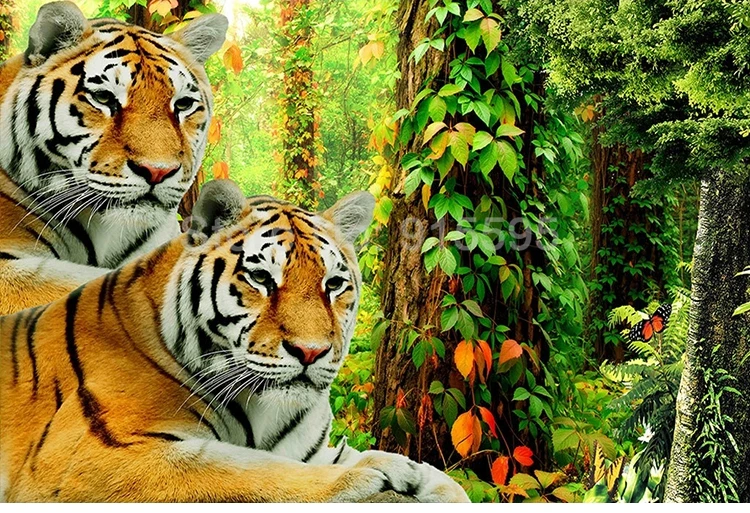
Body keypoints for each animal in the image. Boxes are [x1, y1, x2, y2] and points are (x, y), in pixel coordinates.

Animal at [0, 179, 470, 502]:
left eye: (334, 284)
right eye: (261, 278)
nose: (311, 352)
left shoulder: (317, 451)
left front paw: (424, 477)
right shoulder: (91, 454)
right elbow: (252, 470)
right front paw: (377, 471)